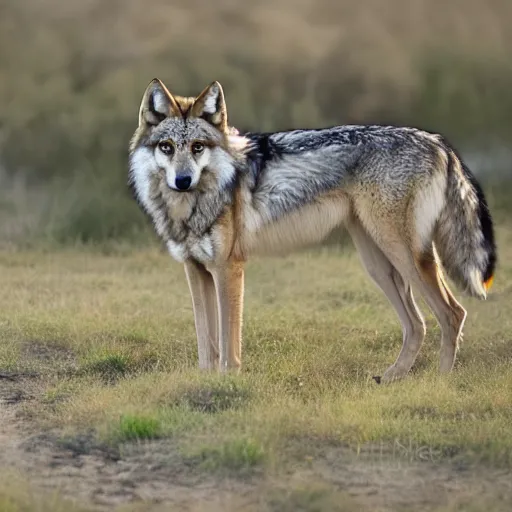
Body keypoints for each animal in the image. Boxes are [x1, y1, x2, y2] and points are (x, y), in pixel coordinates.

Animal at [128, 78, 496, 382]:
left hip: (403, 255)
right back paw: (393, 377)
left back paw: (441, 383)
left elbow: (228, 346)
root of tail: (437, 140)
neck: (190, 206)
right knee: (417, 325)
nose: (183, 180)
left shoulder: (227, 269)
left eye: (197, 147)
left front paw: (227, 383)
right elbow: (206, 344)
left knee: (452, 314)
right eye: (166, 147)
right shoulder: (195, 271)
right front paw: (207, 382)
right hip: (379, 265)